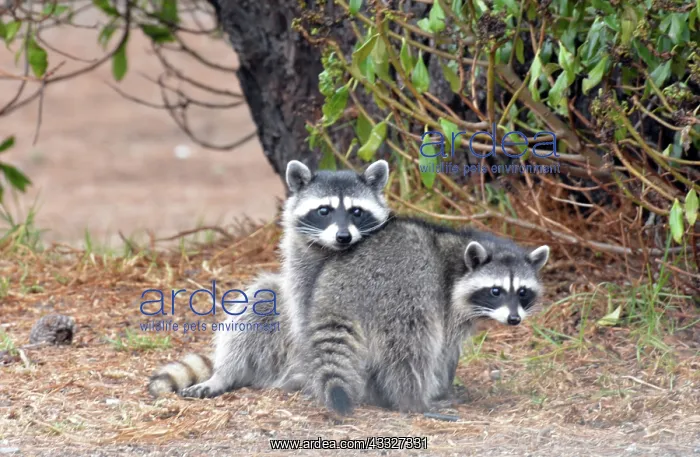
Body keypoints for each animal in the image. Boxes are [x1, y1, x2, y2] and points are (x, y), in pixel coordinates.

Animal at [148, 160, 392, 398]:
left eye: (357, 211)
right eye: (324, 210)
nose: (343, 236)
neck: (333, 250)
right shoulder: (298, 271)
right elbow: (303, 317)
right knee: (257, 303)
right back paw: (224, 374)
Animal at [300, 217, 549, 415]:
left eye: (522, 292)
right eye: (496, 291)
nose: (514, 319)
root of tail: (341, 289)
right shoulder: (447, 302)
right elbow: (445, 349)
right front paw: (443, 388)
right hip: (402, 292)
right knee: (413, 347)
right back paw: (414, 401)